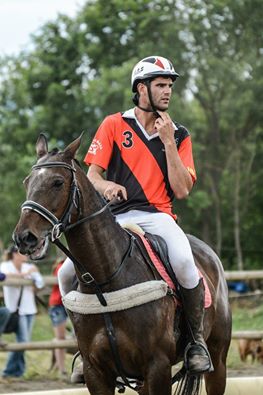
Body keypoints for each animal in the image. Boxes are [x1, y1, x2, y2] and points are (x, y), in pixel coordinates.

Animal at [13, 136, 233, 395]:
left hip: (218, 360)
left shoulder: (157, 365)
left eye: (58, 182)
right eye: (27, 182)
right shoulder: (96, 371)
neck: (105, 283)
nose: (24, 238)